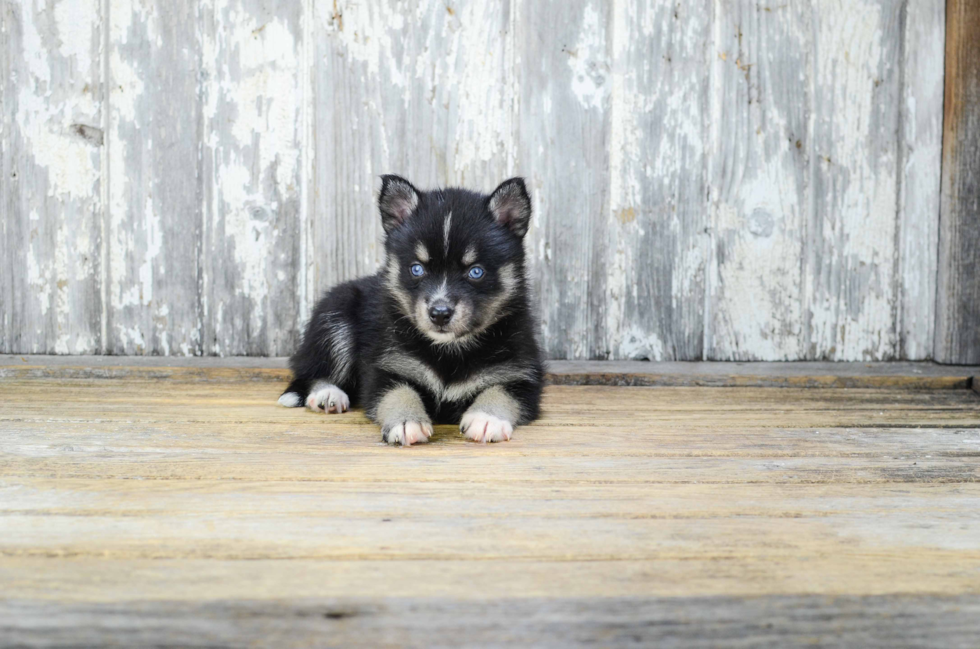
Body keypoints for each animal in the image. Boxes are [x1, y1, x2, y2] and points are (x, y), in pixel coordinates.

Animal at [280, 175, 548, 442]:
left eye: (476, 271)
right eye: (417, 268)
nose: (439, 314)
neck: (449, 350)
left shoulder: (520, 375)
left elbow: (501, 392)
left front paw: (486, 418)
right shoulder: (387, 366)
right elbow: (397, 392)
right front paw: (406, 422)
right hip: (335, 317)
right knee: (313, 372)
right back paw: (328, 394)